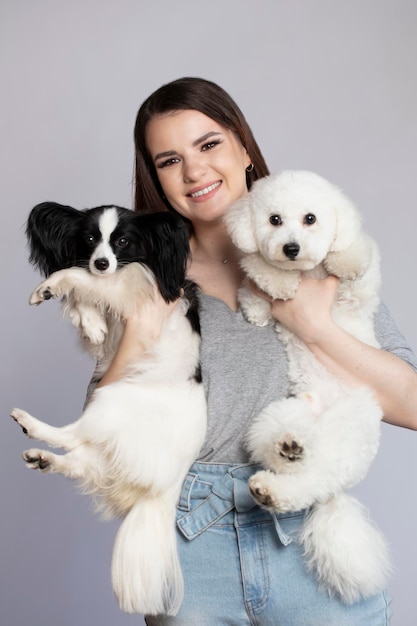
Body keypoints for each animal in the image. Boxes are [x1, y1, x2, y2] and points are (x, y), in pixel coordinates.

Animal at [12, 201, 207, 616]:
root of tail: (168, 485)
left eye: (122, 242)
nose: (101, 262)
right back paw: (42, 459)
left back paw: (30, 424)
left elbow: (81, 278)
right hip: (111, 445)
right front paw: (92, 324)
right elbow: (86, 303)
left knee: (72, 435)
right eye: (88, 239)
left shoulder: (130, 285)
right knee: (80, 458)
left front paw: (49, 286)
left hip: (109, 399)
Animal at [224, 169, 390, 600]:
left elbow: (357, 259)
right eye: (274, 220)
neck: (307, 272)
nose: (291, 248)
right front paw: (274, 287)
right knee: (285, 463)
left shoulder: (360, 293)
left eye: (311, 219)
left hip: (351, 427)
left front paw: (344, 260)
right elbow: (255, 271)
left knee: (310, 481)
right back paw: (285, 457)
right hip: (281, 414)